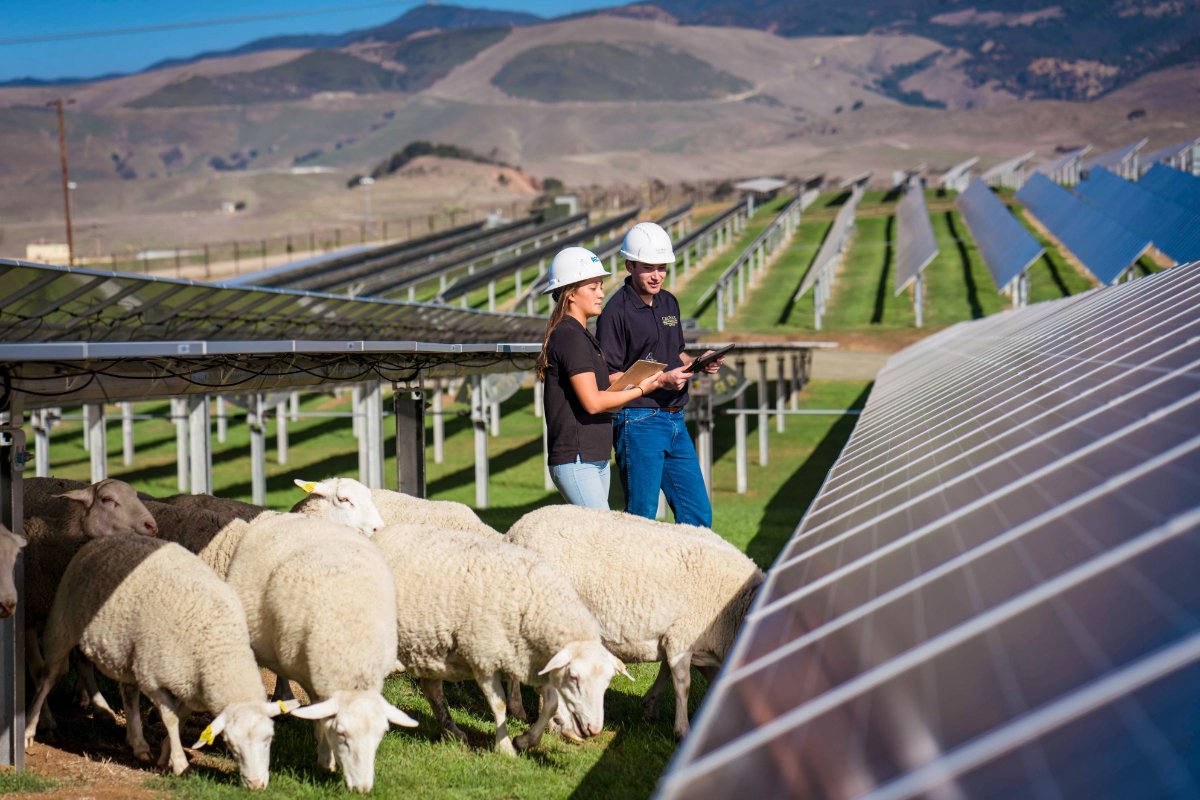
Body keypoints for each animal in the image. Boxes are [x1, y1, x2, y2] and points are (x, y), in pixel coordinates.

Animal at [24, 534, 296, 791]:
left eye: (269, 739)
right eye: (231, 746)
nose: (257, 786)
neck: (219, 647)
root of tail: (107, 537)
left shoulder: (190, 688)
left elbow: (181, 717)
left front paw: (165, 755)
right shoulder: (154, 679)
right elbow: (171, 719)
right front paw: (180, 764)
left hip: (127, 652)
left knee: (127, 692)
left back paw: (138, 743)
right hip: (62, 626)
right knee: (48, 678)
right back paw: (30, 730)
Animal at [223, 513, 415, 796]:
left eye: (381, 734)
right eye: (342, 734)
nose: (362, 789)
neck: (352, 653)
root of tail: (288, 515)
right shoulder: (308, 672)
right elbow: (320, 713)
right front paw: (325, 757)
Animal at [367, 525, 628, 758]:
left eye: (607, 682)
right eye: (574, 677)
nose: (594, 730)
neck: (535, 603)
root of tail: (380, 534)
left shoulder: (537, 662)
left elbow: (552, 703)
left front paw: (526, 740)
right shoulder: (483, 658)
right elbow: (500, 704)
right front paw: (505, 748)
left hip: (429, 646)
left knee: (432, 689)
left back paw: (452, 732)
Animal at [504, 506, 758, 738]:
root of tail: (515, 530)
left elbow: (671, 672)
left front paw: (651, 705)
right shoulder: (681, 638)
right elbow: (683, 685)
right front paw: (682, 730)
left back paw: (521, 710)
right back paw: (549, 722)